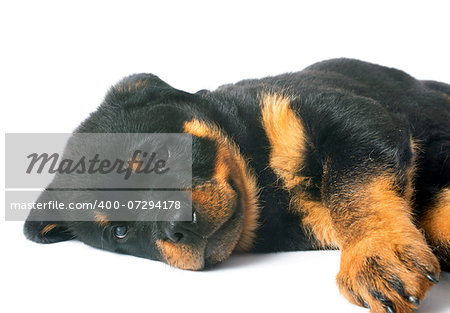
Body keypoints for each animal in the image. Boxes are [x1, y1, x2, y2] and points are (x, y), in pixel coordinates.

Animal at [25, 59, 450, 312]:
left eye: (157, 155)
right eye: (119, 231)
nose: (177, 228)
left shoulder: (353, 116)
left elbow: (353, 184)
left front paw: (375, 252)